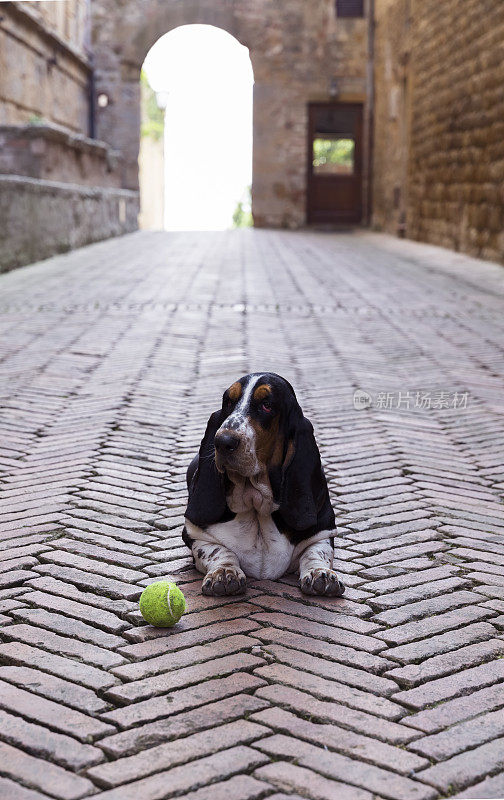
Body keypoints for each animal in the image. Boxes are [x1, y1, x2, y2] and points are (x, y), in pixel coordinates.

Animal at [181, 372, 342, 596]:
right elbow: (218, 550)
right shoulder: (194, 532)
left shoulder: (323, 531)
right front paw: (224, 572)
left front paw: (321, 574)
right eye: (228, 402)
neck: (255, 503)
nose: (223, 441)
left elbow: (317, 551)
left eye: (266, 405)